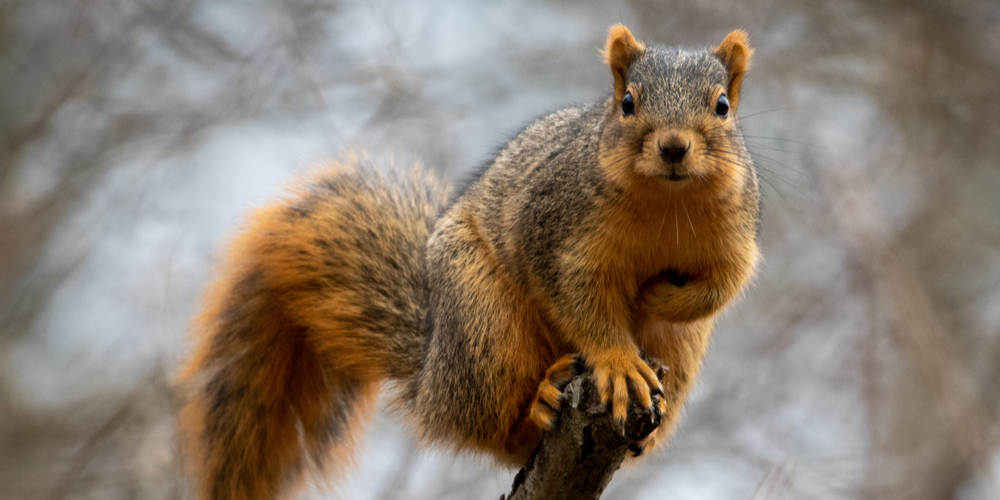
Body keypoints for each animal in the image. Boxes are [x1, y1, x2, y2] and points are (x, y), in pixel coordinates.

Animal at [178, 25, 756, 500]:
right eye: (629, 102)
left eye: (722, 106)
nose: (674, 147)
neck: (666, 204)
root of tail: (431, 375)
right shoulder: (552, 231)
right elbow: (577, 298)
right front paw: (616, 360)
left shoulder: (737, 235)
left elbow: (722, 287)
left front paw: (660, 296)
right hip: (483, 325)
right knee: (494, 428)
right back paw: (541, 401)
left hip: (679, 353)